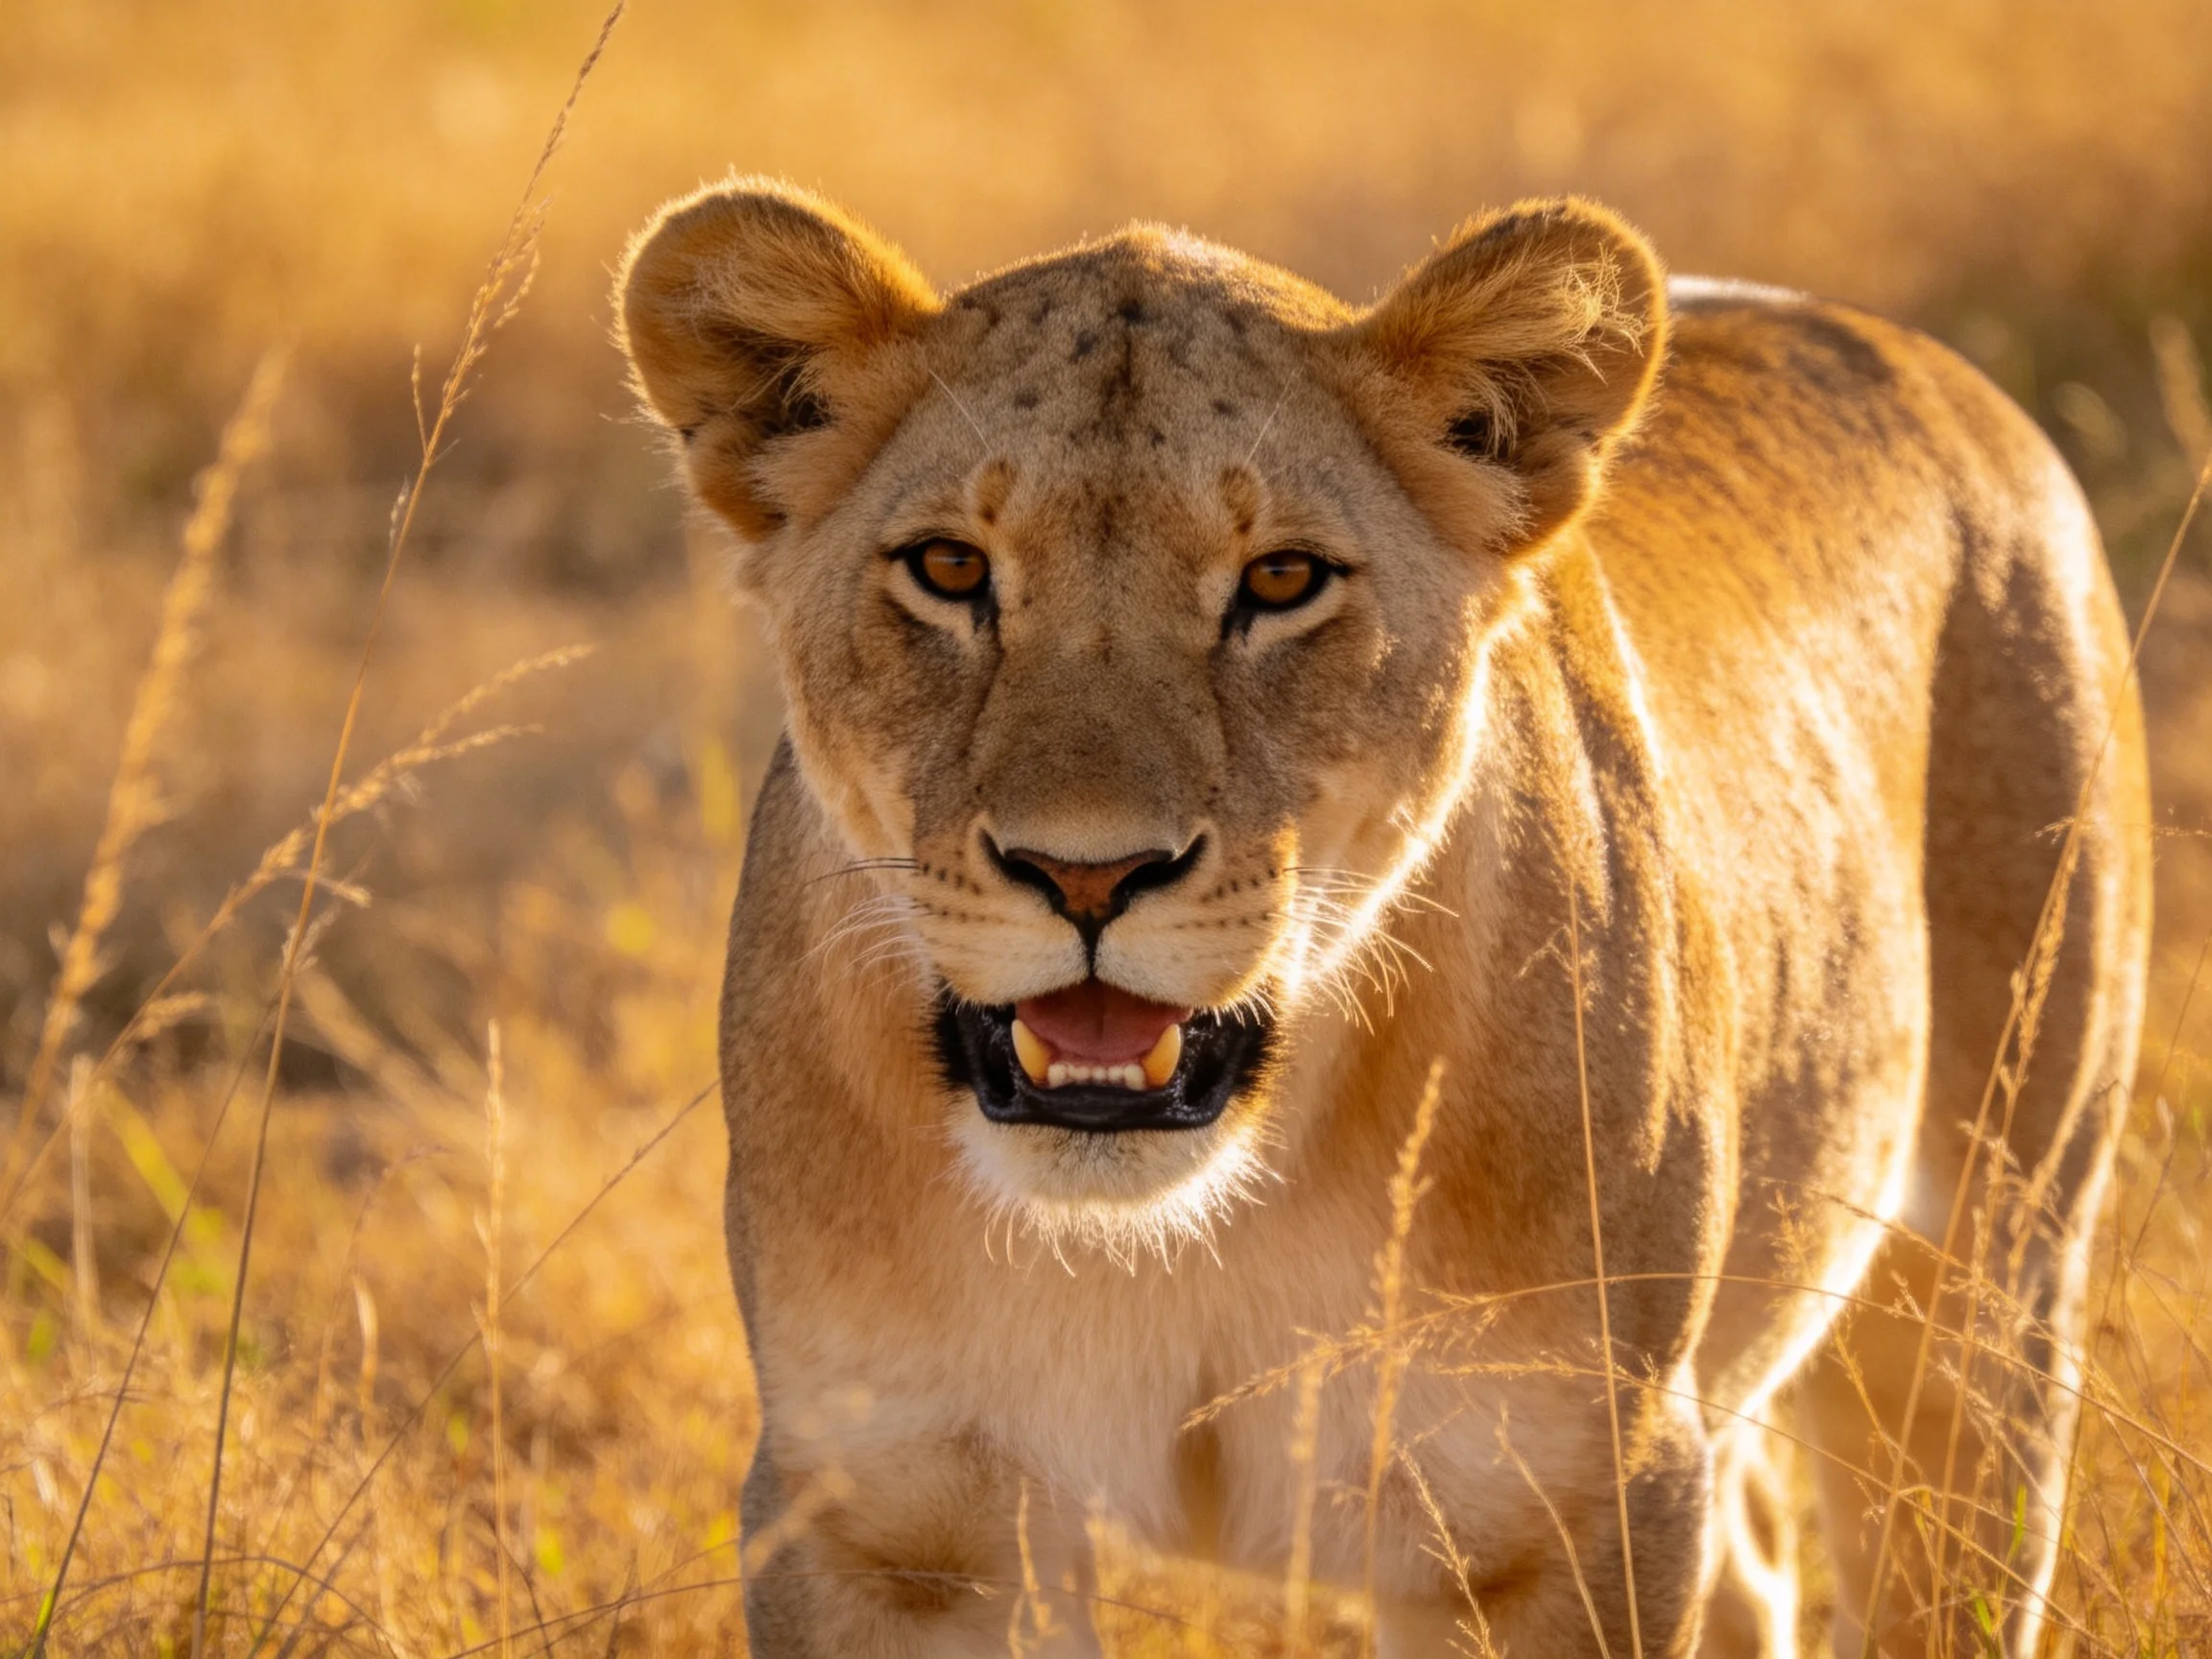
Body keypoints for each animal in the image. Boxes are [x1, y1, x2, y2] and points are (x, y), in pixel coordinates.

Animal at [616, 179, 2150, 1657]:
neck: (1183, 1227)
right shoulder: (886, 1518)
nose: (1088, 876)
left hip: (1984, 1295)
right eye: (947, 570)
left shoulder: (1562, 1508)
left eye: (1282, 582)